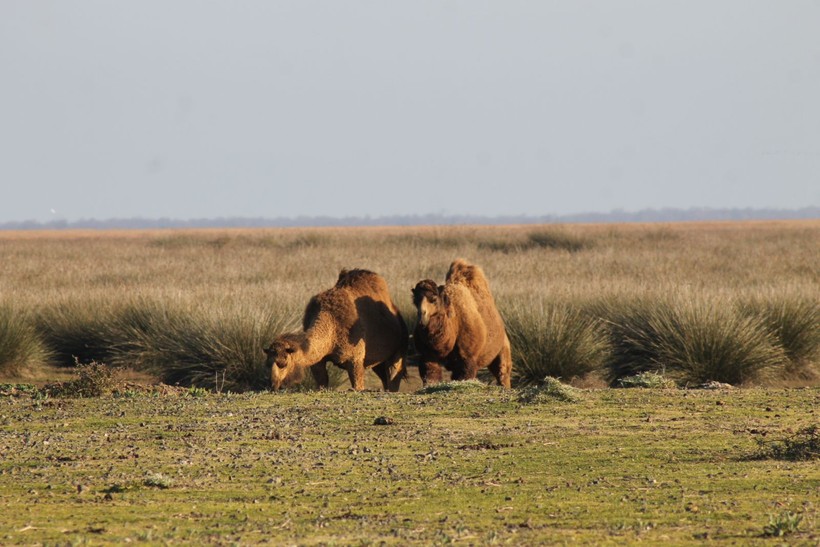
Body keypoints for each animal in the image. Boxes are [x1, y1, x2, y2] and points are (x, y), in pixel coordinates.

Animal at [264, 268, 408, 390]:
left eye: (283, 363)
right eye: (267, 363)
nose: (273, 385)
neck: (331, 323)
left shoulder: (355, 359)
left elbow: (358, 386)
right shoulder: (318, 361)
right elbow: (322, 382)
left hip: (399, 347)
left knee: (394, 373)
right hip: (377, 362)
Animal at [410, 260, 512, 388]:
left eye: (434, 299)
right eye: (415, 301)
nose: (422, 315)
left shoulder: (468, 357)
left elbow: (465, 375)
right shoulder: (428, 356)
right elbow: (431, 376)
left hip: (503, 350)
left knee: (502, 373)